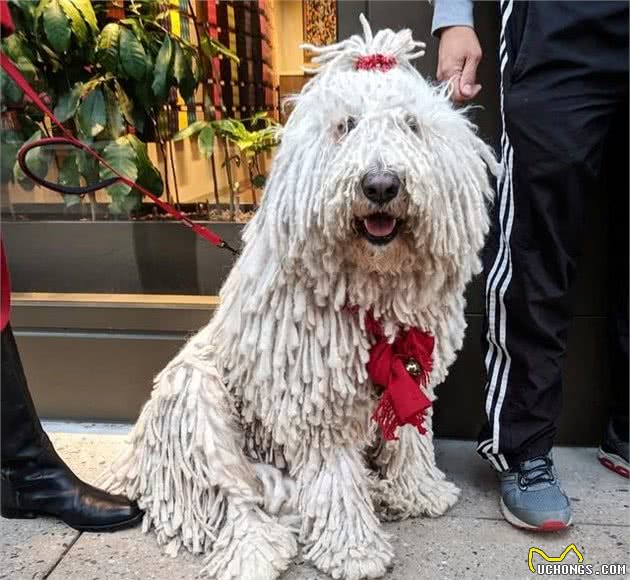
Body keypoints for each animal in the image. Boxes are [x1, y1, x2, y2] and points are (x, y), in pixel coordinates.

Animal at [102, 15, 498, 580]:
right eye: (346, 125)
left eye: (411, 125)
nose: (381, 184)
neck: (370, 286)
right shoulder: (315, 401)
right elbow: (333, 475)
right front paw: (354, 549)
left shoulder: (410, 364)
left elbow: (408, 431)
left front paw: (417, 491)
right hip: (196, 399)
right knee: (231, 497)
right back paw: (253, 549)